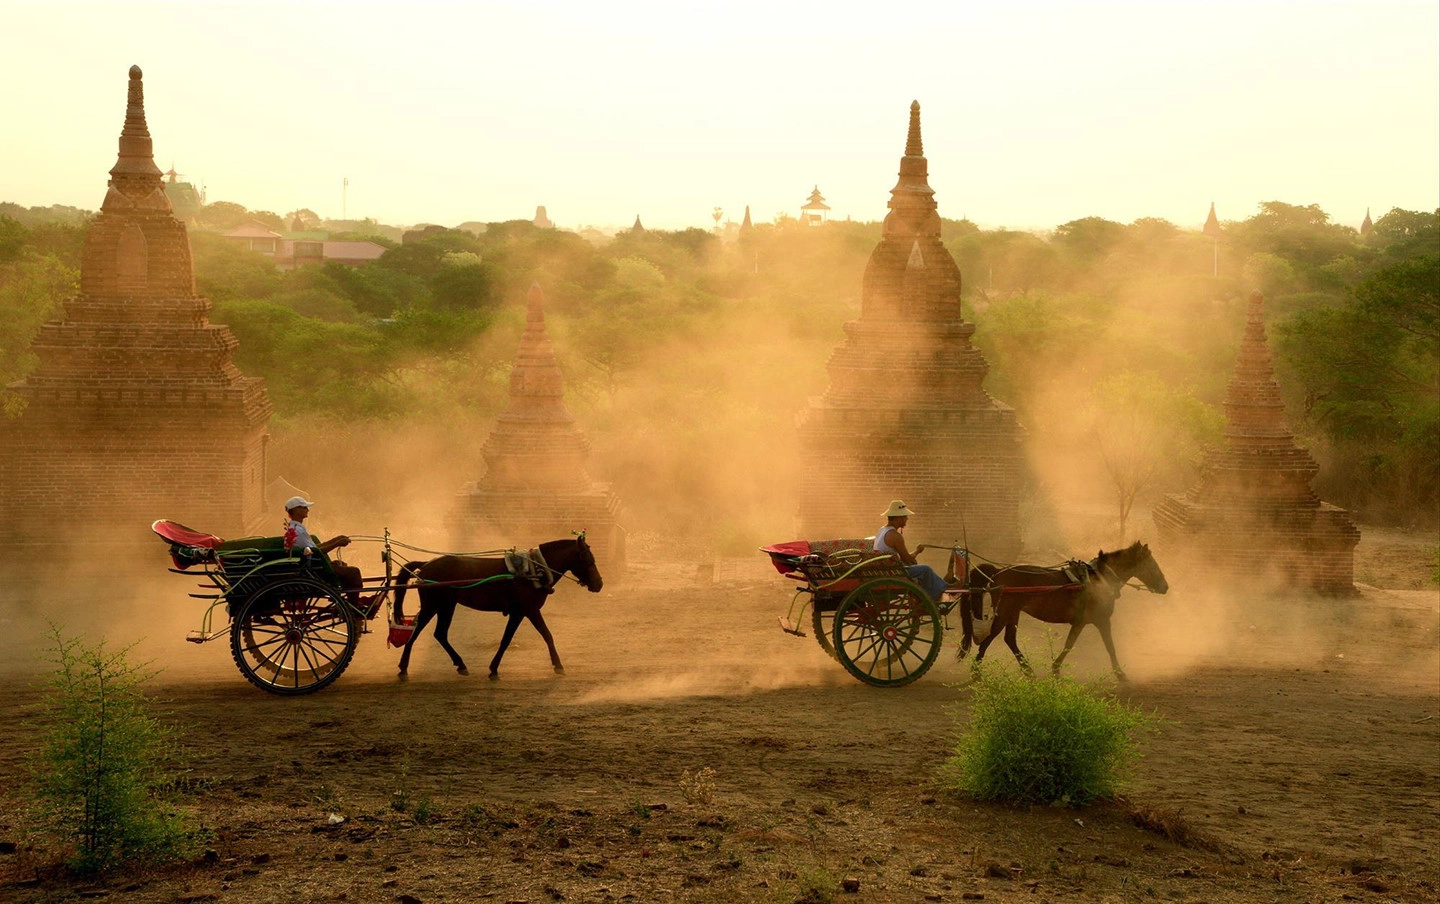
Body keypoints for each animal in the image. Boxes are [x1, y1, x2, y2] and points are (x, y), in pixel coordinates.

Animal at [388, 535, 601, 679]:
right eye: (588, 559)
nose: (599, 584)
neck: (535, 571)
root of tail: (426, 565)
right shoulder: (528, 610)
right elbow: (542, 635)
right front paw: (558, 665)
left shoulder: (520, 612)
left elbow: (509, 639)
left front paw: (494, 668)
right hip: (433, 605)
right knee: (416, 632)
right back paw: (404, 667)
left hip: (447, 605)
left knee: (440, 633)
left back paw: (460, 664)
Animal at [967, 544, 1169, 679]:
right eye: (1152, 564)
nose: (1165, 586)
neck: (1100, 578)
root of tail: (998, 573)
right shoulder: (1102, 620)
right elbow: (1109, 646)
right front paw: (1120, 674)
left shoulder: (1080, 622)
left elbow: (1069, 644)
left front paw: (1055, 668)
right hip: (1005, 612)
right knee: (991, 637)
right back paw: (976, 671)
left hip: (1013, 613)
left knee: (1009, 639)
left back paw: (1027, 670)